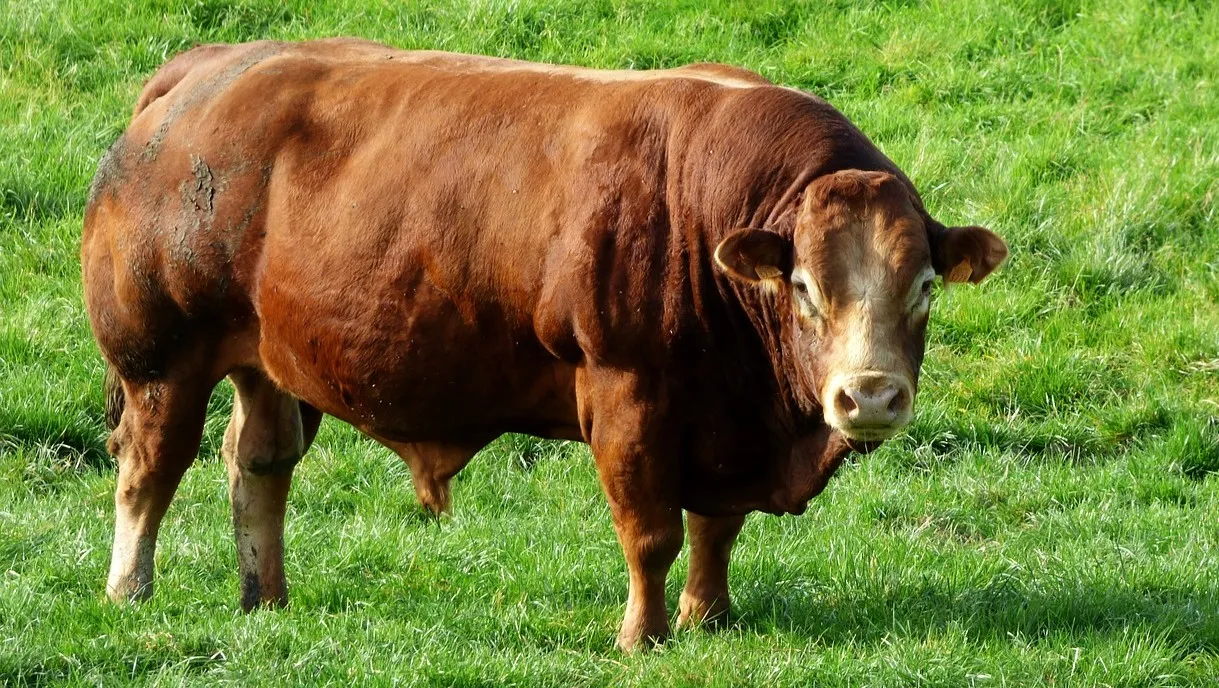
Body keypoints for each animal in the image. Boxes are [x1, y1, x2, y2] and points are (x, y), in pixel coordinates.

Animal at [82, 38, 1007, 651]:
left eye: (924, 287)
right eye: (807, 288)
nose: (870, 395)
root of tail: (208, 67)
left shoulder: (725, 423)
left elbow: (716, 528)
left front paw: (710, 617)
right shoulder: (627, 395)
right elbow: (651, 532)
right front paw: (643, 636)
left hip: (264, 358)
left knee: (258, 462)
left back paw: (264, 597)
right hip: (160, 358)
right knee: (149, 469)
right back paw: (128, 590)